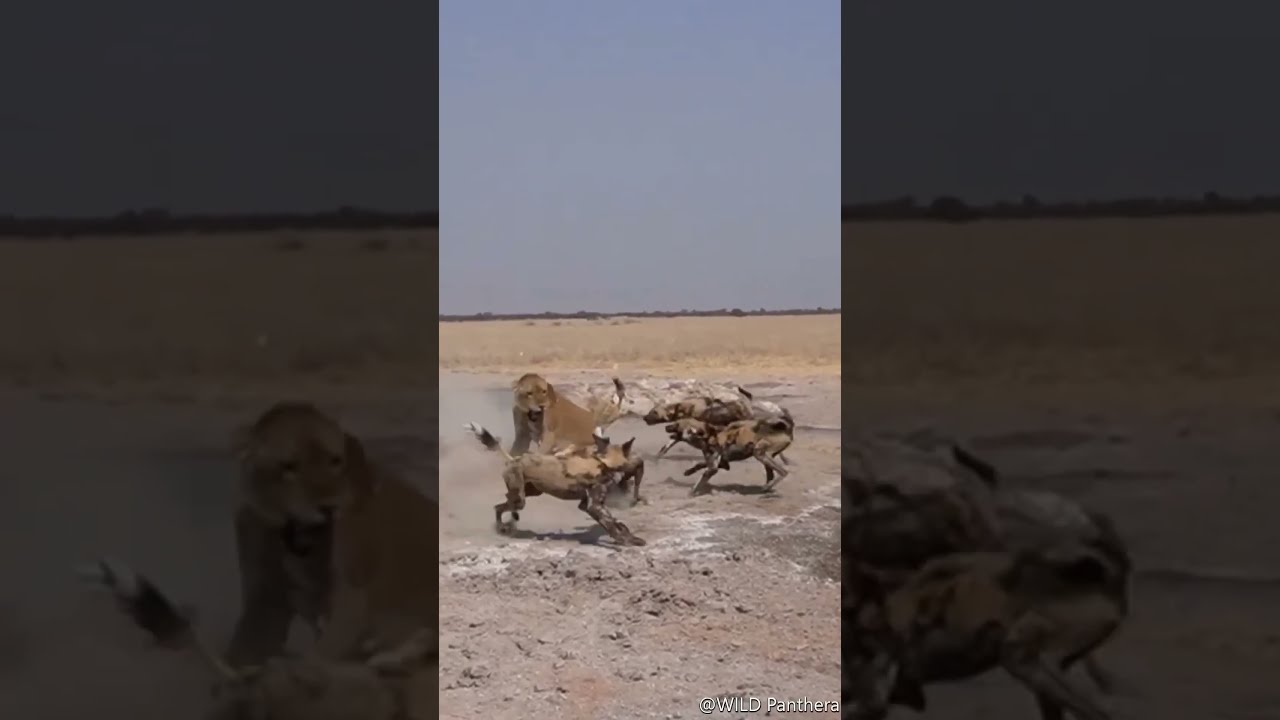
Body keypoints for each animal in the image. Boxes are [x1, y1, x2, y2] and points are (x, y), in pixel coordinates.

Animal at [225, 401, 438, 716]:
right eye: (290, 466)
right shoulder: (264, 599)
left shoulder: (351, 595)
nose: (328, 507)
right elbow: (242, 650)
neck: (295, 536)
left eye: (335, 461)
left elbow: (322, 655)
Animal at [465, 421, 646, 546]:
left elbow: (616, 523)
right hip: (520, 499)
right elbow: (612, 526)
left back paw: (505, 527)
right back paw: (504, 528)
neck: (603, 463)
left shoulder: (587, 505)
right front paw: (625, 541)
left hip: (530, 493)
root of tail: (514, 459)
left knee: (499, 506)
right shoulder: (594, 506)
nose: (641, 462)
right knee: (504, 506)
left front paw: (630, 537)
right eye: (632, 456)